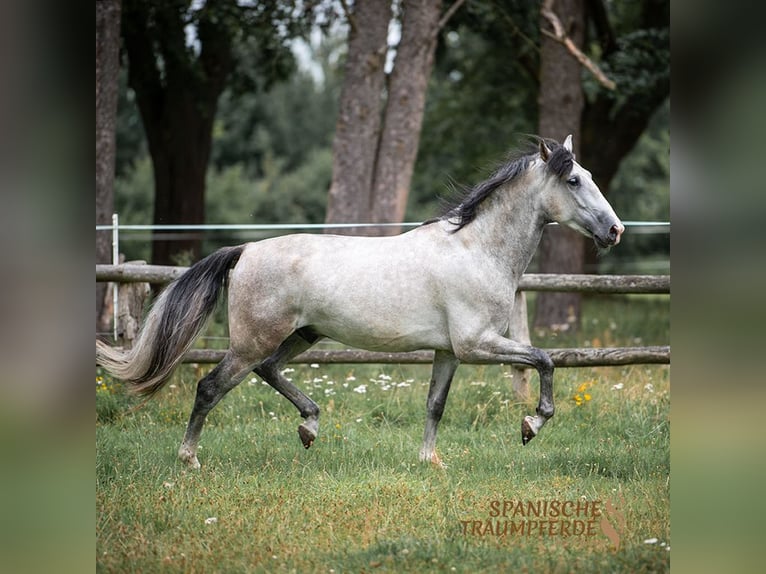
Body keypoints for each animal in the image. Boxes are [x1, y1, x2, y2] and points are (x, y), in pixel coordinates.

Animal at [97, 137, 624, 470]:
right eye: (574, 180)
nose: (615, 230)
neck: (476, 249)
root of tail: (244, 251)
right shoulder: (478, 345)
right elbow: (545, 359)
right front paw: (531, 424)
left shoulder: (449, 351)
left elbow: (435, 405)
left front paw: (430, 461)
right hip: (253, 341)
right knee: (210, 387)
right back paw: (189, 459)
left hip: (300, 335)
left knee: (269, 371)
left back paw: (309, 427)